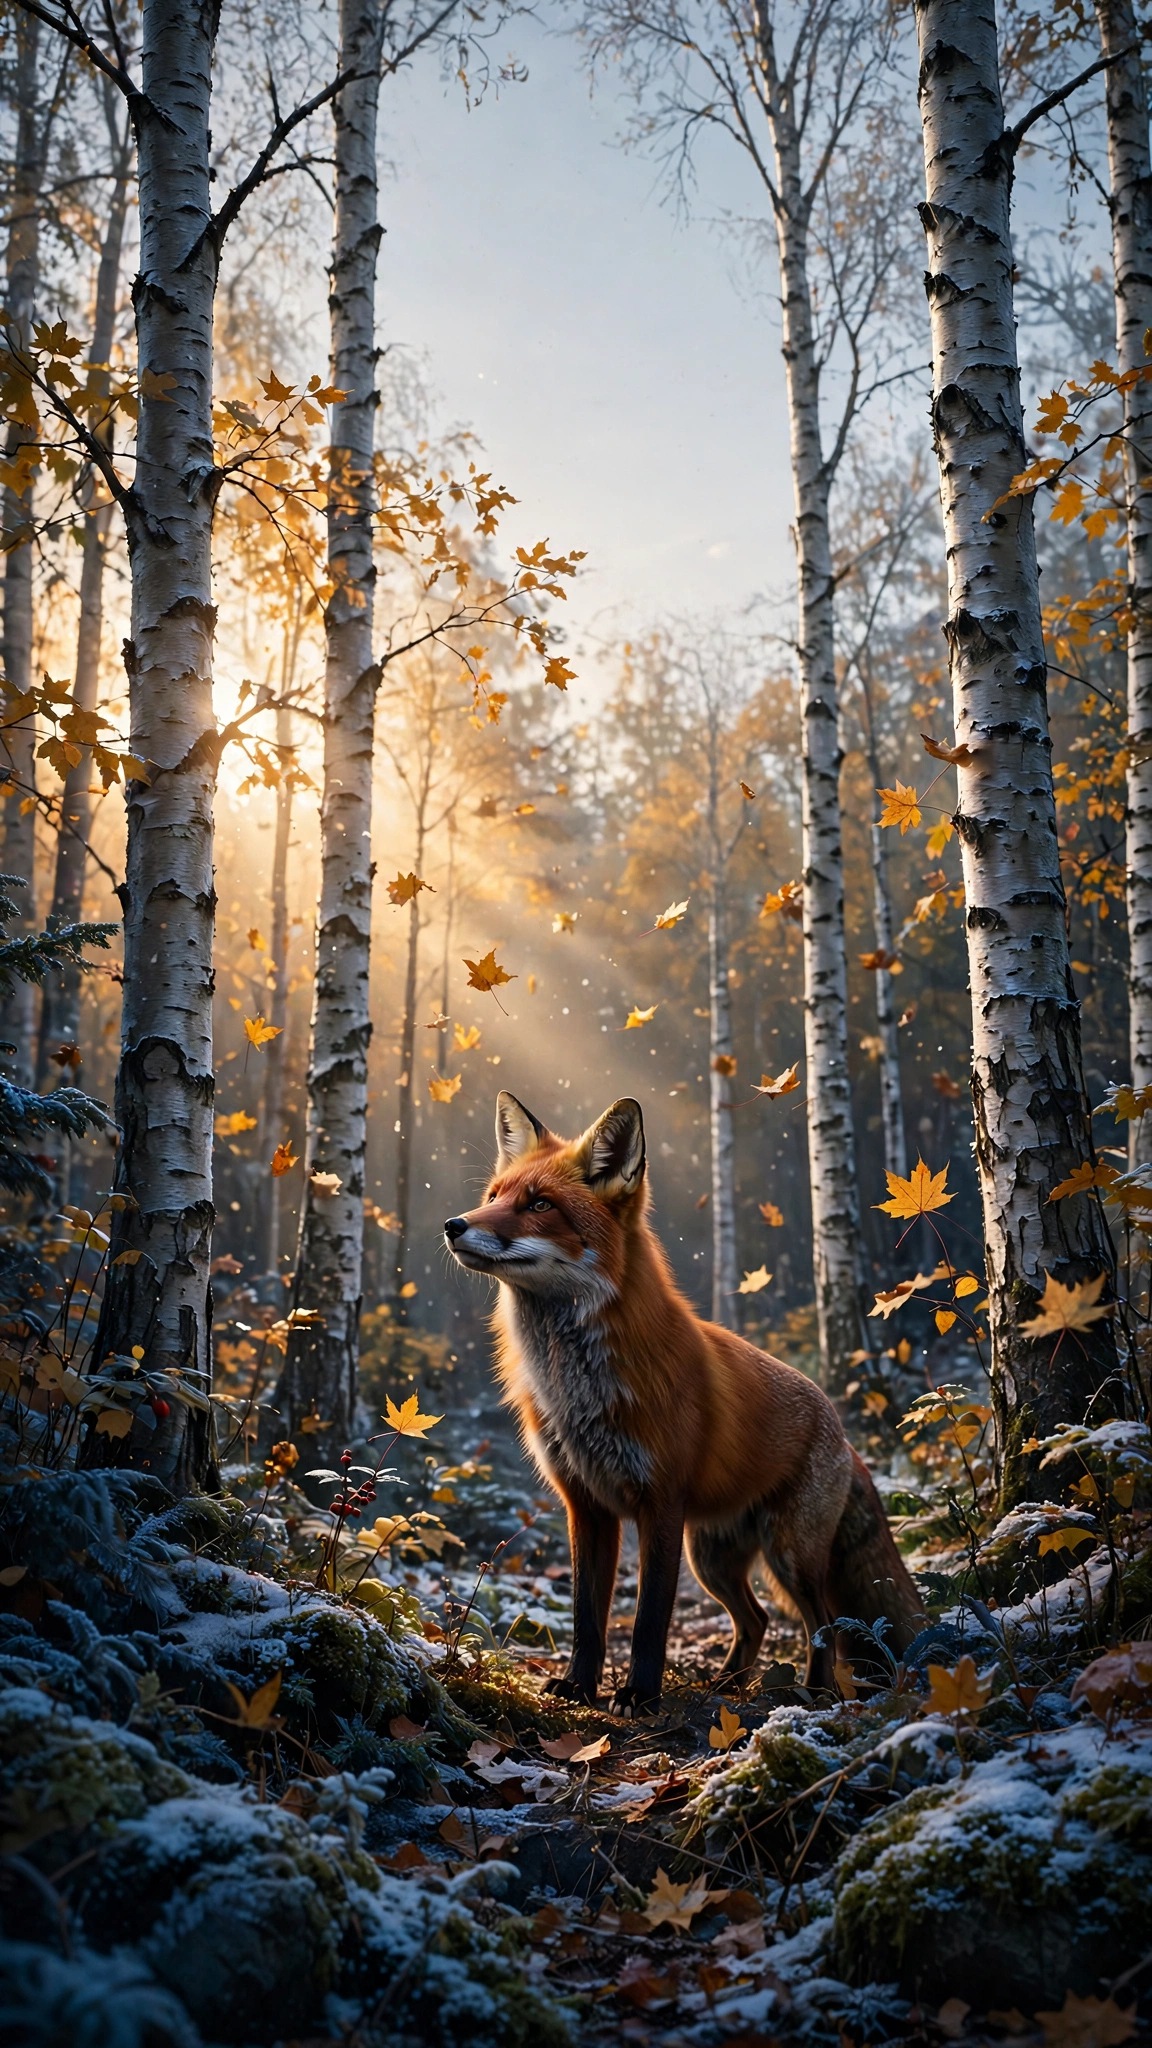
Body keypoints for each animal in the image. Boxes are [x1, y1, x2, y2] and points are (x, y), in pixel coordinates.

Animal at [444, 1090, 924, 1713]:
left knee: (823, 1622)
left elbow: (650, 1618)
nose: (453, 1225)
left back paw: (813, 1694)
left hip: (787, 1556)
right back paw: (728, 1683)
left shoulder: (661, 1502)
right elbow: (587, 1616)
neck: (579, 1386)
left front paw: (639, 1695)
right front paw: (578, 1685)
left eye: (540, 1205)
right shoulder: (587, 1506)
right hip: (713, 1560)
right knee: (758, 1620)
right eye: (493, 1198)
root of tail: (841, 1431)